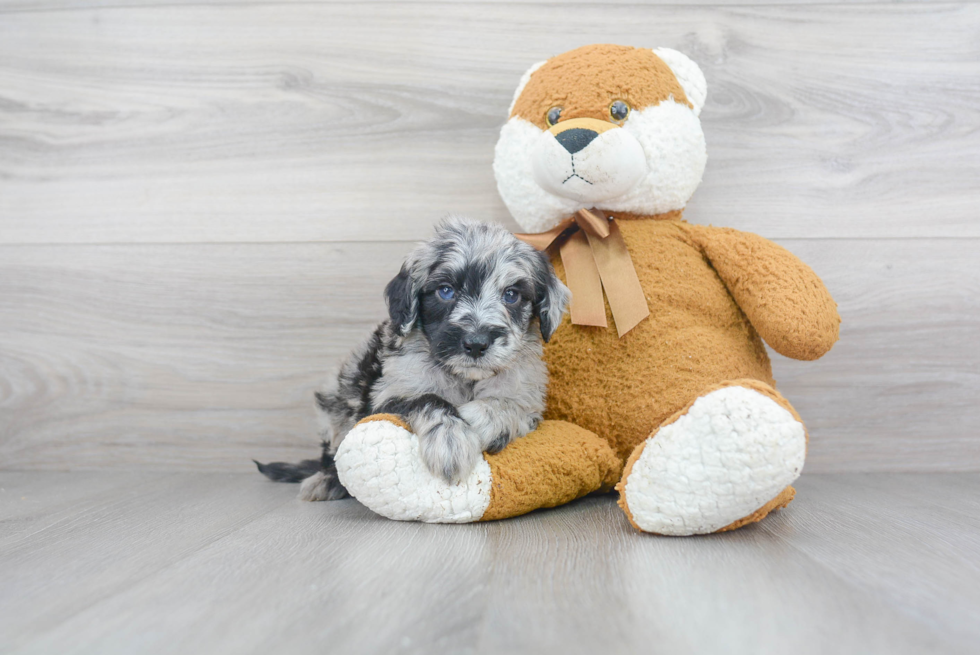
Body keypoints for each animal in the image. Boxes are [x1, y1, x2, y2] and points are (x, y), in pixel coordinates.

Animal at [256, 219, 572, 502]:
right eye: (446, 291)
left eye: (511, 295)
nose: (476, 343)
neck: (465, 378)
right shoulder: (385, 398)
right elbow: (428, 398)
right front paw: (450, 440)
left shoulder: (528, 401)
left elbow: (510, 405)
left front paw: (481, 416)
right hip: (339, 400)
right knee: (331, 454)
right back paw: (326, 482)